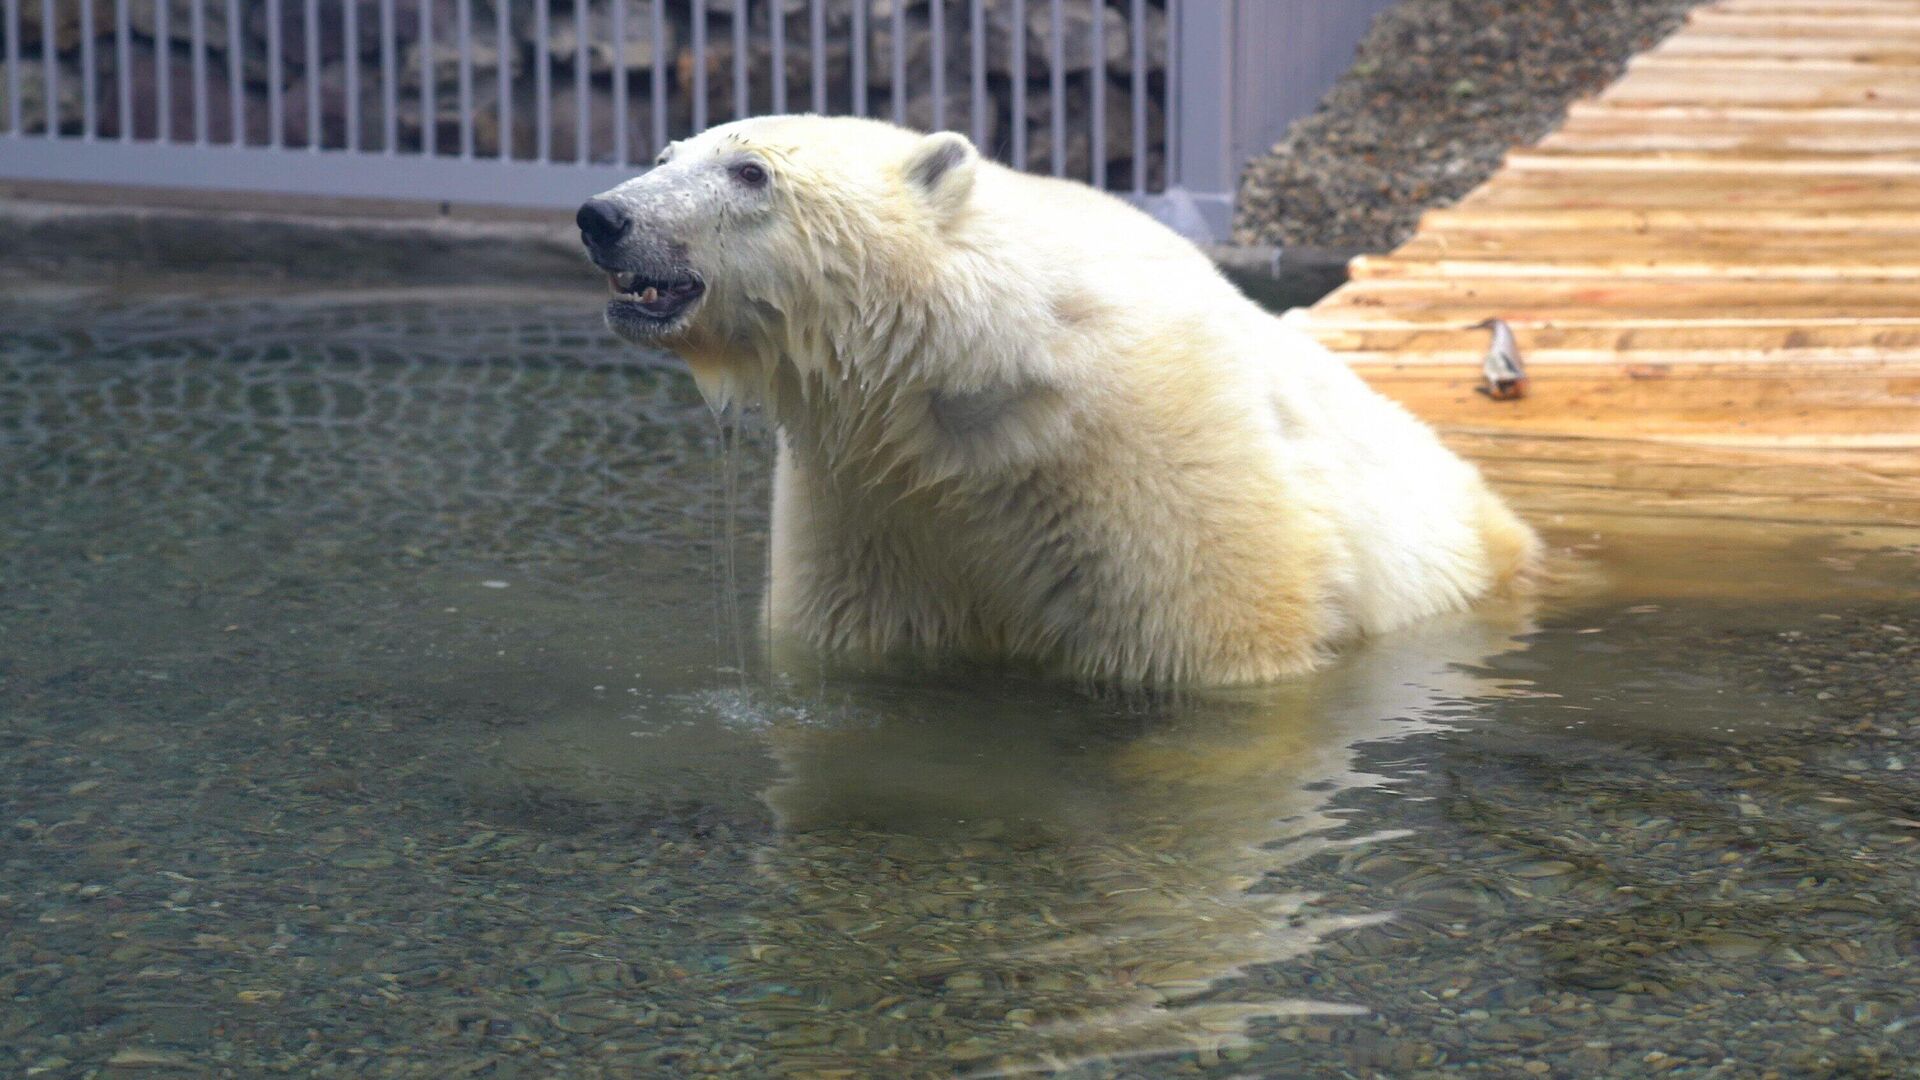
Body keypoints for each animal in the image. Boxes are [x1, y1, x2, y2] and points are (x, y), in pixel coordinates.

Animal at [576, 111, 1536, 680]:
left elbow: (1219, 631)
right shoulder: (868, 494)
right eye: (664, 155)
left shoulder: (1159, 456)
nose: (603, 217)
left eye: (750, 172)